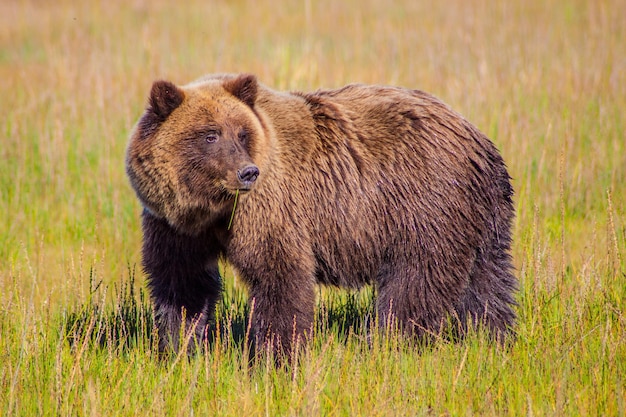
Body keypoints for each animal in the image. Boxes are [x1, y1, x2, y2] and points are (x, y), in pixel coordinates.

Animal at [124, 73, 516, 352]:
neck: (212, 207)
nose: (247, 172)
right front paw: (180, 346)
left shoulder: (269, 206)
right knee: (487, 281)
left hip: (426, 204)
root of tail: (480, 140)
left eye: (241, 133)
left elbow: (279, 277)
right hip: (479, 218)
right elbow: (183, 282)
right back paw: (493, 337)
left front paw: (274, 354)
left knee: (417, 281)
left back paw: (386, 343)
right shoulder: (173, 223)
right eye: (209, 135)